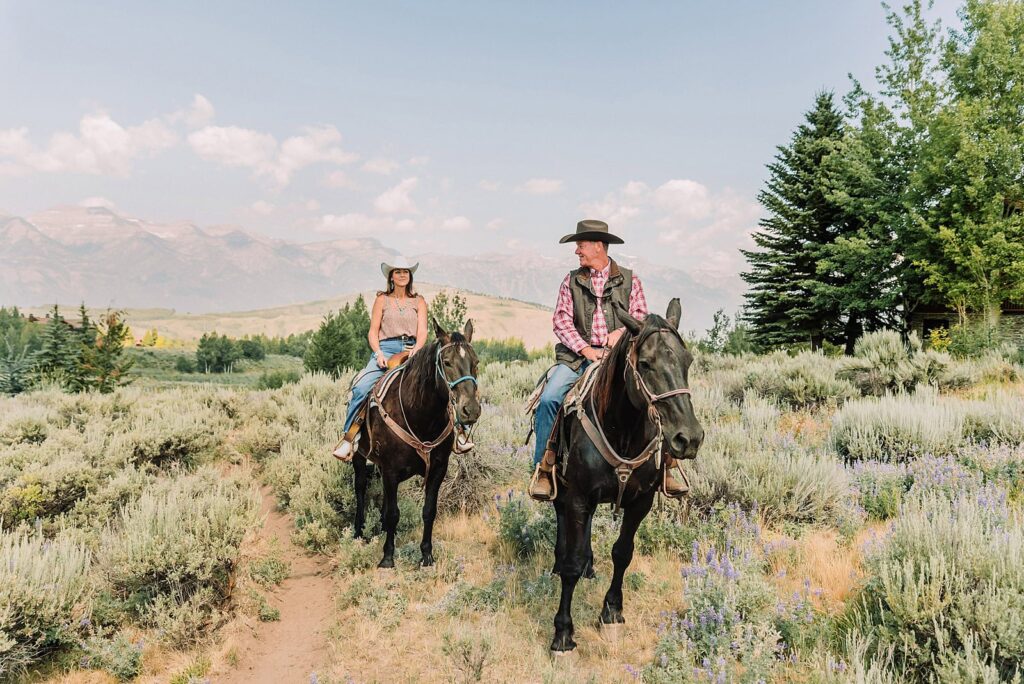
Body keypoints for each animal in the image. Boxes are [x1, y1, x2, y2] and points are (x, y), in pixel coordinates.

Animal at [352, 319, 479, 565]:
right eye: (447, 362)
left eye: (475, 362)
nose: (470, 410)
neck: (420, 416)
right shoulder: (391, 469)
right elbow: (394, 513)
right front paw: (387, 557)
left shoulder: (438, 468)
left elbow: (428, 511)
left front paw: (426, 555)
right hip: (358, 457)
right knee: (360, 487)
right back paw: (358, 531)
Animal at [552, 298, 704, 651]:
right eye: (645, 364)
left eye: (687, 361)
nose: (689, 438)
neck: (620, 429)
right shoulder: (578, 496)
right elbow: (571, 564)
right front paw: (563, 633)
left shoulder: (640, 502)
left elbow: (623, 553)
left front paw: (611, 612)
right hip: (560, 487)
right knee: (561, 518)